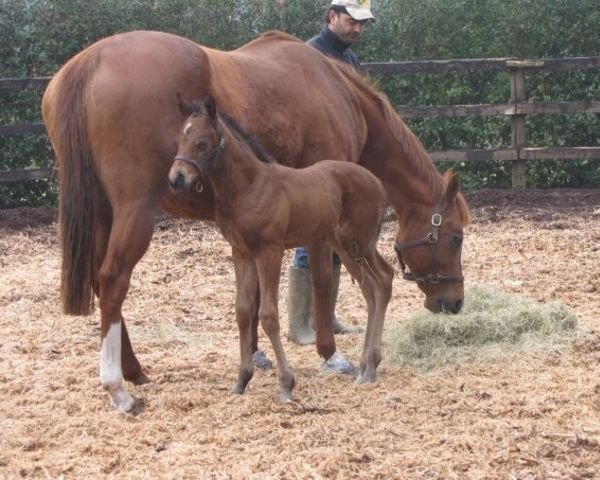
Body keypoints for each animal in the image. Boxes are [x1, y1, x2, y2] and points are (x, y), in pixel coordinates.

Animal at [169, 96, 394, 402]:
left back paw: (369, 367)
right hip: (346, 245)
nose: (176, 178)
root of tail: (377, 182)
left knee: (381, 281)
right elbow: (243, 311)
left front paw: (286, 384)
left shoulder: (269, 251)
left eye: (202, 143)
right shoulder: (241, 253)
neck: (249, 187)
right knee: (374, 286)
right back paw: (366, 366)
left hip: (357, 241)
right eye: (182, 137)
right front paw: (241, 380)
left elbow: (268, 315)